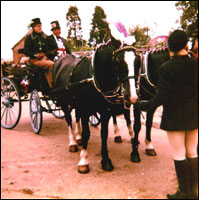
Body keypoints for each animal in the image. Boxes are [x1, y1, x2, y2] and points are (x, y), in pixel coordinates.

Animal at [52, 36, 138, 173]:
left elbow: (104, 133)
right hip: (65, 103)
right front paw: (83, 160)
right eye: (118, 62)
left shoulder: (105, 110)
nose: (133, 97)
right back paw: (73, 142)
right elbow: (87, 133)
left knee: (76, 117)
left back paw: (78, 137)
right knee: (69, 120)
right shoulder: (85, 109)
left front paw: (106, 160)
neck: (93, 77)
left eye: (137, 61)